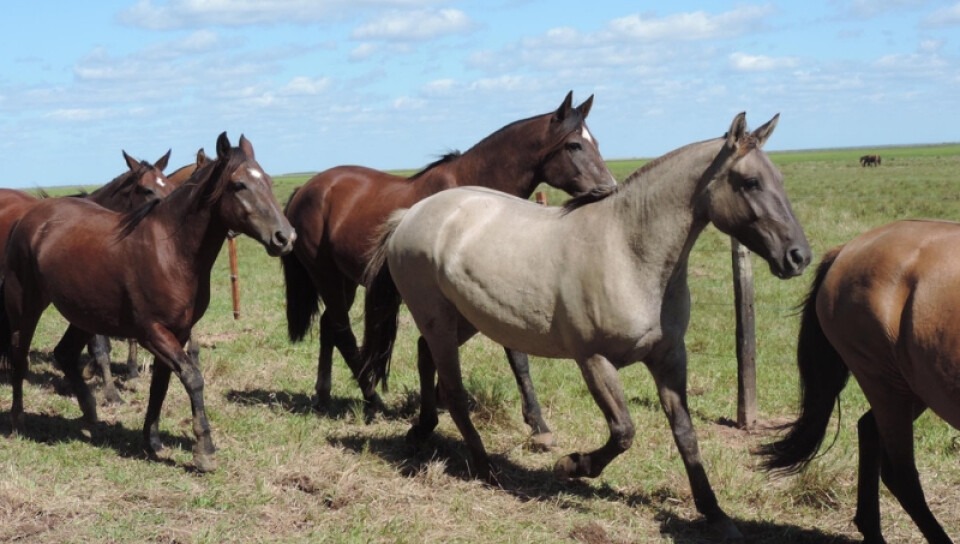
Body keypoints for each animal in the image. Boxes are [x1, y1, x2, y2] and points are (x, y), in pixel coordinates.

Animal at [0, 132, 294, 472]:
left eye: (268, 181)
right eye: (239, 185)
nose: (285, 237)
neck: (171, 250)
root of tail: (28, 217)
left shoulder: (177, 332)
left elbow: (161, 385)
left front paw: (151, 440)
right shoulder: (152, 333)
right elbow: (192, 378)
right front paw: (204, 450)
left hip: (85, 314)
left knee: (64, 353)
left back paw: (91, 414)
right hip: (26, 305)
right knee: (20, 356)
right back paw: (18, 421)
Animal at [282, 90, 620, 446]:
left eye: (595, 142)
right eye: (574, 145)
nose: (609, 188)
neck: (476, 197)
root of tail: (307, 189)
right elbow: (502, 353)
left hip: (343, 281)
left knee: (329, 327)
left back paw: (325, 394)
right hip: (327, 276)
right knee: (342, 331)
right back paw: (373, 398)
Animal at [360, 112, 808, 536]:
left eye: (780, 179)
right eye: (750, 182)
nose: (798, 256)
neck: (628, 250)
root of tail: (410, 215)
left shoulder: (669, 358)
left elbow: (686, 434)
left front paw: (715, 514)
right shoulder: (593, 360)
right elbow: (624, 431)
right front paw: (571, 465)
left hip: (465, 318)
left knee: (425, 357)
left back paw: (422, 431)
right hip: (438, 318)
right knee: (452, 390)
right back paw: (485, 467)